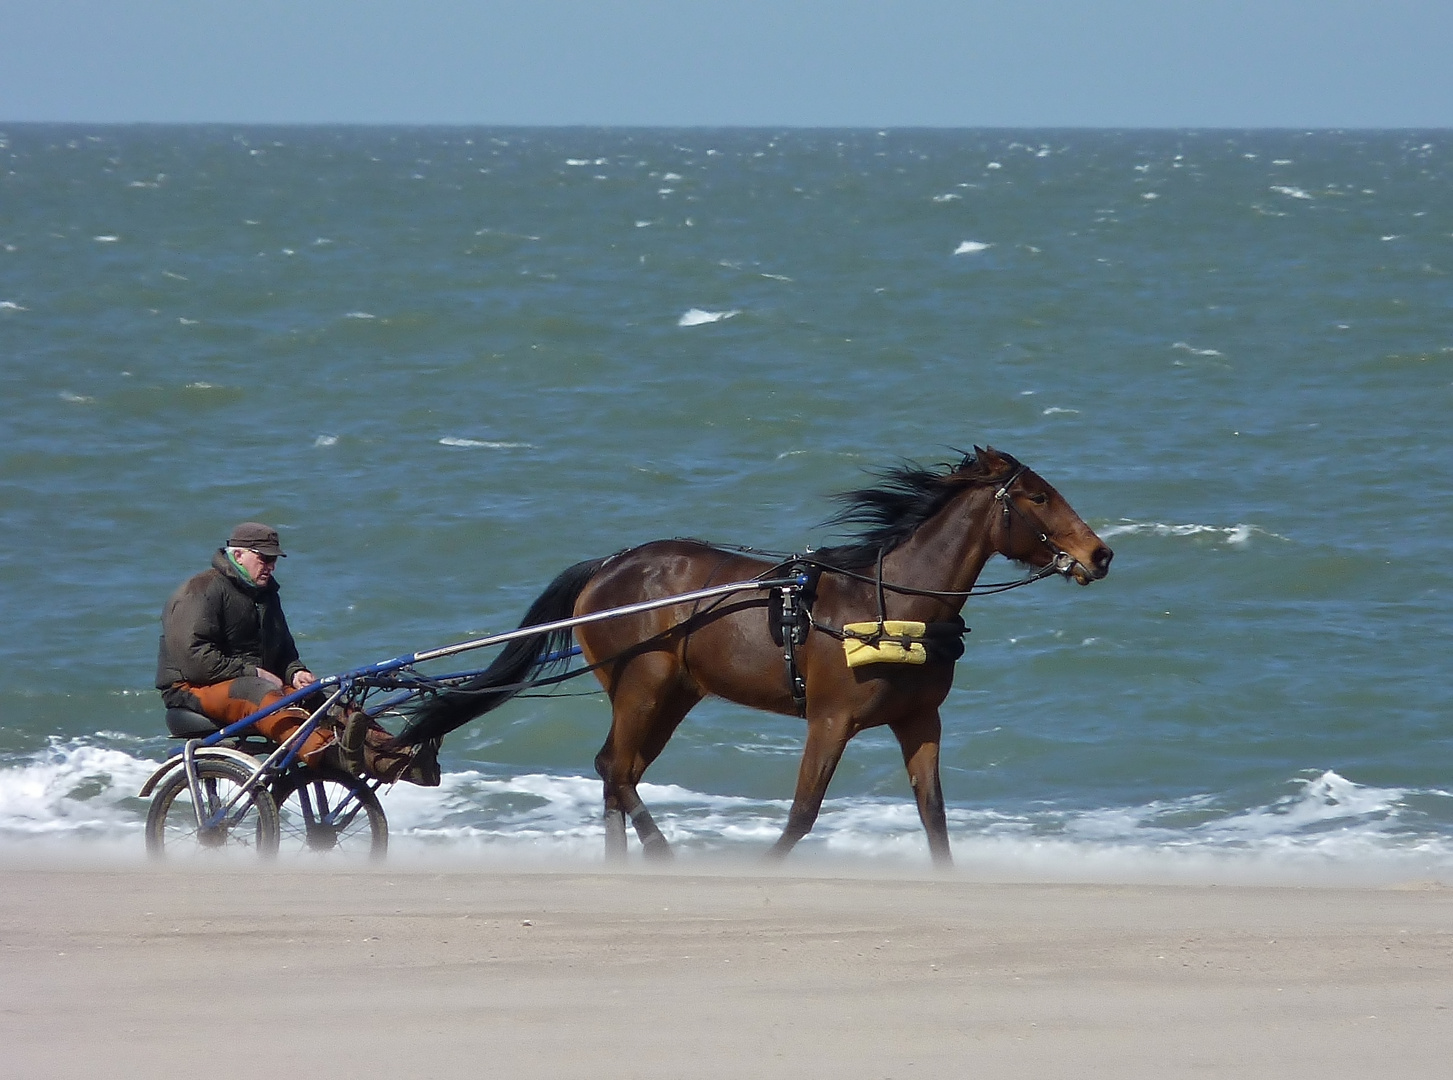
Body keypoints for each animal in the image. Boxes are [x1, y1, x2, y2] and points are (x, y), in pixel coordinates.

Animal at [398, 444, 1110, 866]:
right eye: (1039, 496)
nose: (1100, 554)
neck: (889, 607)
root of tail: (608, 565)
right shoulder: (831, 719)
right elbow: (802, 813)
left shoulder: (919, 720)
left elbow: (934, 818)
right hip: (644, 686)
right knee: (614, 769)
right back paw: (659, 854)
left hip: (672, 695)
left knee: (617, 772)